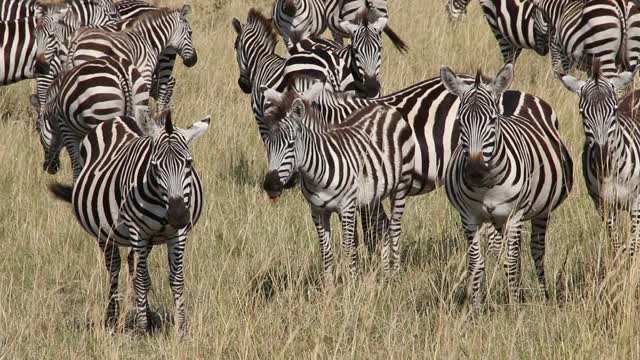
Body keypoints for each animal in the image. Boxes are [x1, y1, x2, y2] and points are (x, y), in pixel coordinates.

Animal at [48, 110, 208, 334]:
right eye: (155, 167)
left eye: (188, 163)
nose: (178, 216)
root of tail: (118, 118)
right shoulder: (137, 231)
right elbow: (140, 280)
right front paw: (142, 329)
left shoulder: (178, 233)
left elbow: (176, 279)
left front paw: (181, 328)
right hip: (105, 233)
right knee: (114, 267)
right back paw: (112, 317)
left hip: (148, 239)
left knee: (133, 264)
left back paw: (147, 314)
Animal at [260, 87, 416, 282]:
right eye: (267, 144)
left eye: (291, 144)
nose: (271, 185)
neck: (316, 175)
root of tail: (386, 108)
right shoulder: (317, 211)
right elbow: (326, 250)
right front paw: (329, 286)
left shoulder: (347, 207)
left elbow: (348, 246)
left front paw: (351, 284)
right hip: (373, 196)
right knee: (383, 227)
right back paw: (386, 275)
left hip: (401, 186)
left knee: (395, 228)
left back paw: (395, 274)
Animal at [440, 64, 576, 304]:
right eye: (459, 122)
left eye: (492, 120)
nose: (474, 171)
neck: (488, 185)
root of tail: (515, 93)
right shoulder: (469, 217)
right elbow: (476, 263)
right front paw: (476, 306)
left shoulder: (515, 215)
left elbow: (511, 262)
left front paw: (514, 306)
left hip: (541, 210)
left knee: (536, 250)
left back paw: (542, 295)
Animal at [556, 61, 636, 256]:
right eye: (582, 113)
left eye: (614, 110)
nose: (602, 155)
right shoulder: (603, 206)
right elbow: (616, 244)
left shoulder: (637, 203)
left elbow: (633, 244)